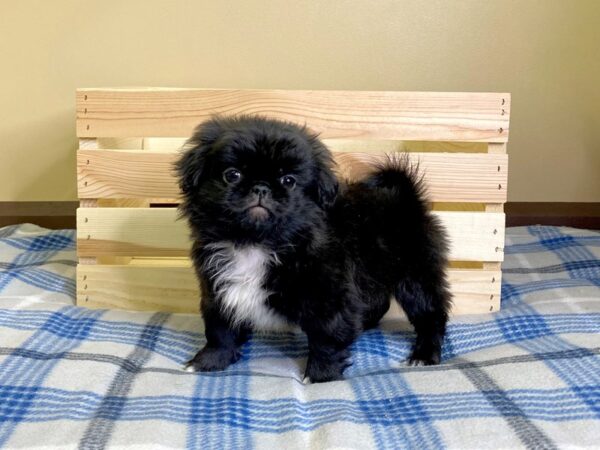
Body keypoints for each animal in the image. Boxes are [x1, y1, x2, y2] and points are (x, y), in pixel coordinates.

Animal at [173, 116, 450, 384]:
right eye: (232, 175)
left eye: (289, 181)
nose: (261, 187)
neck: (257, 242)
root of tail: (404, 198)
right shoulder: (218, 292)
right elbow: (220, 332)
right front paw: (209, 361)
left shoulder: (329, 299)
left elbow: (326, 341)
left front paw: (321, 377)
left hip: (415, 278)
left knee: (431, 314)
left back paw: (424, 354)